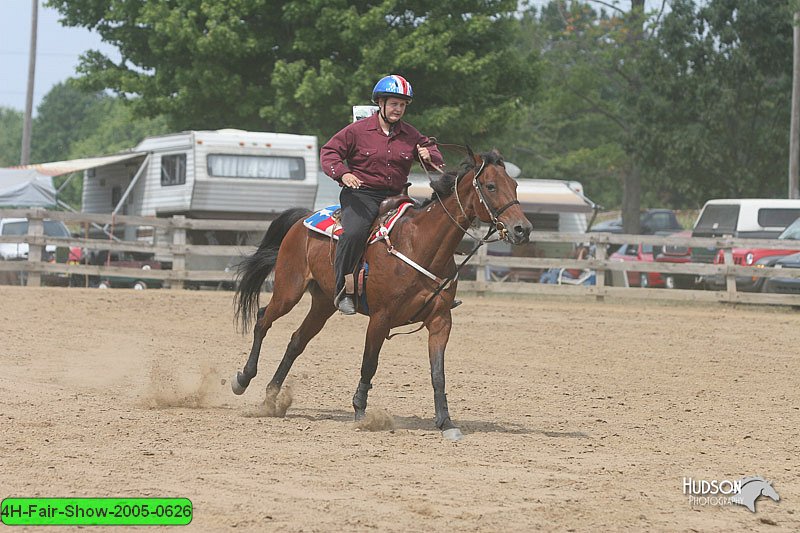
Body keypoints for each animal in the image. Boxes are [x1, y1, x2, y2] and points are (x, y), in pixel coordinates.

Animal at [231, 149, 532, 440]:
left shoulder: (441, 321)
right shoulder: (380, 318)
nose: (523, 229)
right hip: (288, 290)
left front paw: (446, 422)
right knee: (262, 320)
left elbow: (438, 373)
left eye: (515, 185)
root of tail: (304, 218)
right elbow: (369, 364)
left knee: (296, 342)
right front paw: (361, 412)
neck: (420, 244)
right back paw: (243, 379)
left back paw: (271, 398)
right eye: (491, 186)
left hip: (323, 303)